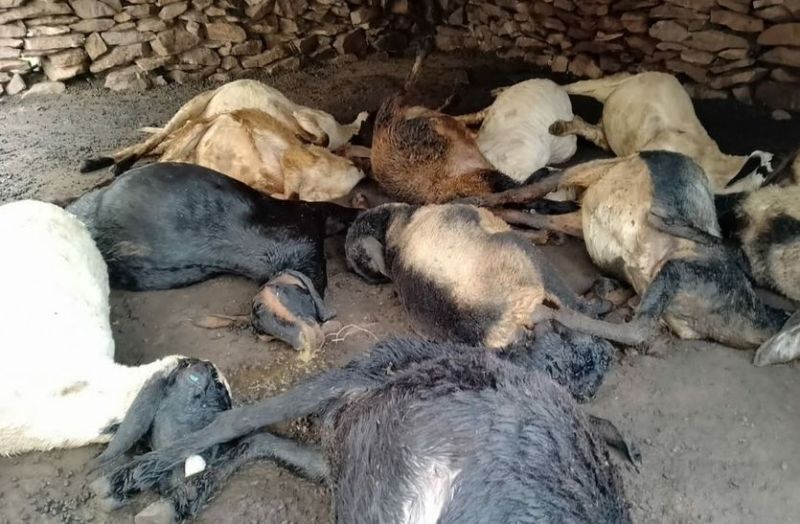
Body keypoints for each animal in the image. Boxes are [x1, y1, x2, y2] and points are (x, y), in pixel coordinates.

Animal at [80, 79, 369, 175]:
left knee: (157, 143)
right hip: (192, 105)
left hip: (189, 120)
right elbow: (318, 135)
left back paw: (100, 163)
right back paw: (111, 165)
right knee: (155, 139)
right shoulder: (305, 118)